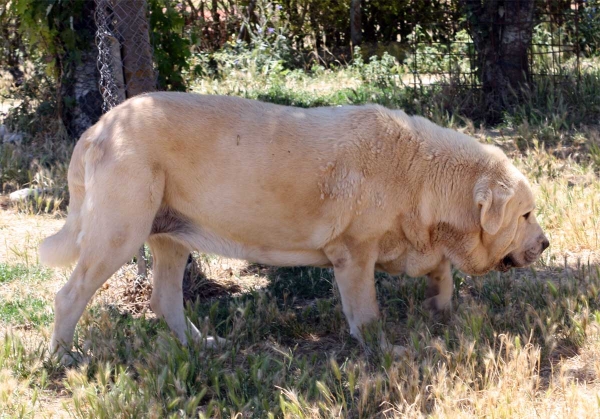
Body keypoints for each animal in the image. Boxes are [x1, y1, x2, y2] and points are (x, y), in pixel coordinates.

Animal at [38, 93, 548, 356]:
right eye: (525, 215)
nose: (545, 244)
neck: (422, 175)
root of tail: (98, 127)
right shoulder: (354, 255)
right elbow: (368, 314)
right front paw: (384, 349)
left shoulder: (405, 242)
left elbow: (440, 269)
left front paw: (440, 307)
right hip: (118, 236)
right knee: (68, 296)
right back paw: (63, 357)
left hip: (171, 239)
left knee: (164, 302)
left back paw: (201, 346)